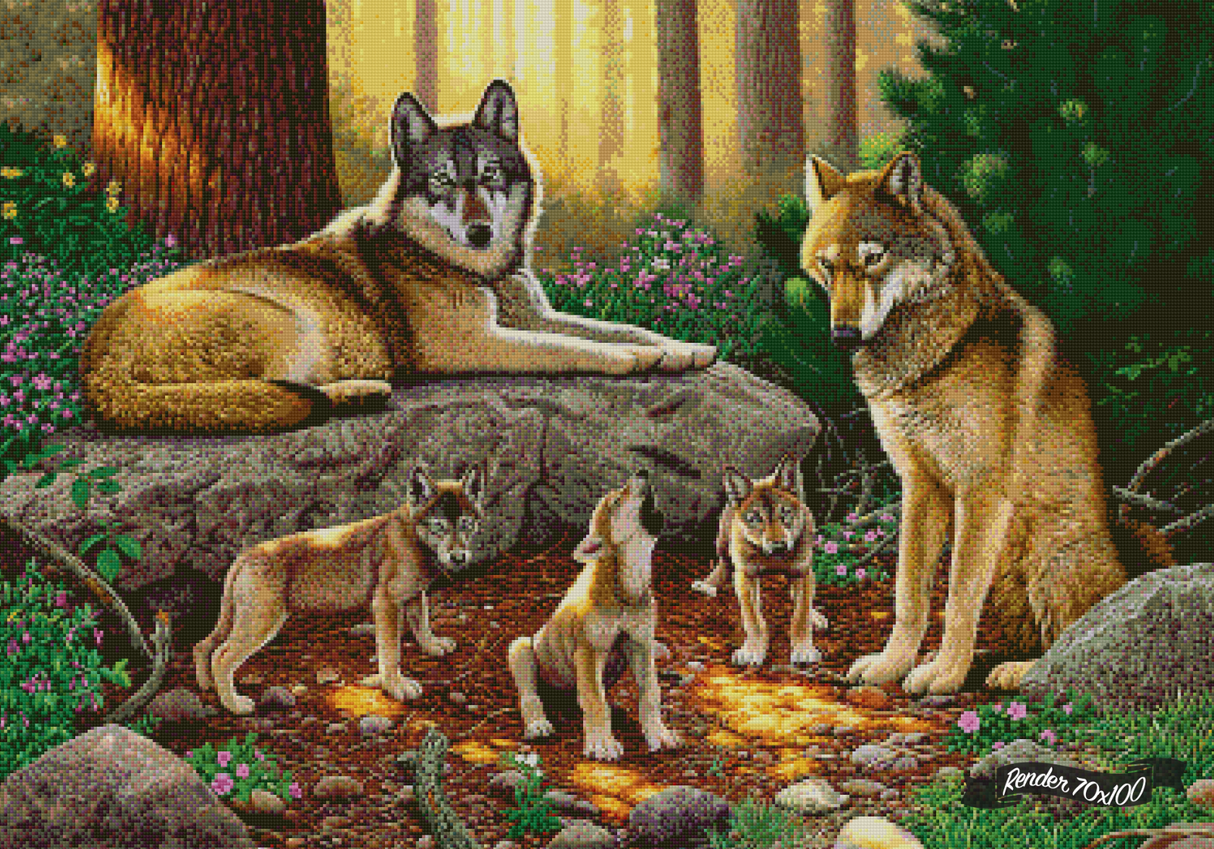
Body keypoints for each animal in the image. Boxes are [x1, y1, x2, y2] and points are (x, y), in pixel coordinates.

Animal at [80, 80, 715, 433]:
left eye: (489, 176)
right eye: (441, 182)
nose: (480, 232)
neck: (478, 272)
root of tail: (93, 365)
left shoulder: (535, 315)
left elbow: (622, 327)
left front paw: (682, 350)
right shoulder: (475, 345)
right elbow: (573, 348)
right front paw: (633, 363)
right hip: (285, 322)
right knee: (268, 397)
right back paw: (356, 391)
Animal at [194, 462, 485, 715]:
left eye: (466, 524)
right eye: (439, 527)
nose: (459, 557)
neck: (413, 536)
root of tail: (246, 554)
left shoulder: (413, 596)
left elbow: (422, 623)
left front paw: (433, 646)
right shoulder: (386, 603)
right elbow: (391, 653)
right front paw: (396, 686)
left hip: (241, 620)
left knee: (202, 645)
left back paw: (207, 686)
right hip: (260, 623)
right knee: (221, 656)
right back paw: (234, 705)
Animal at [507, 469, 682, 761]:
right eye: (615, 502)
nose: (643, 471)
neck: (625, 589)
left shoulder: (641, 645)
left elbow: (650, 694)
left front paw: (659, 734)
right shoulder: (590, 650)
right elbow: (594, 699)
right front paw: (602, 743)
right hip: (520, 648)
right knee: (530, 696)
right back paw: (539, 724)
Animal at [691, 454, 828, 667]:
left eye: (785, 513)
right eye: (756, 518)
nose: (779, 545)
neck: (773, 559)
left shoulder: (801, 572)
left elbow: (800, 616)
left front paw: (803, 648)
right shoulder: (746, 576)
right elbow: (753, 619)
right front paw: (753, 650)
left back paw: (816, 616)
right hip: (723, 546)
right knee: (723, 566)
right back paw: (707, 585)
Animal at [802, 151, 1145, 694]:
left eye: (873, 259)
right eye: (827, 265)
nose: (843, 335)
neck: (933, 356)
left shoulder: (980, 490)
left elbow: (960, 597)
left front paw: (943, 676)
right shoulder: (921, 485)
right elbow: (910, 594)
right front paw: (893, 666)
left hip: (1049, 556)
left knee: (1070, 644)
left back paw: (1012, 671)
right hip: (1007, 574)